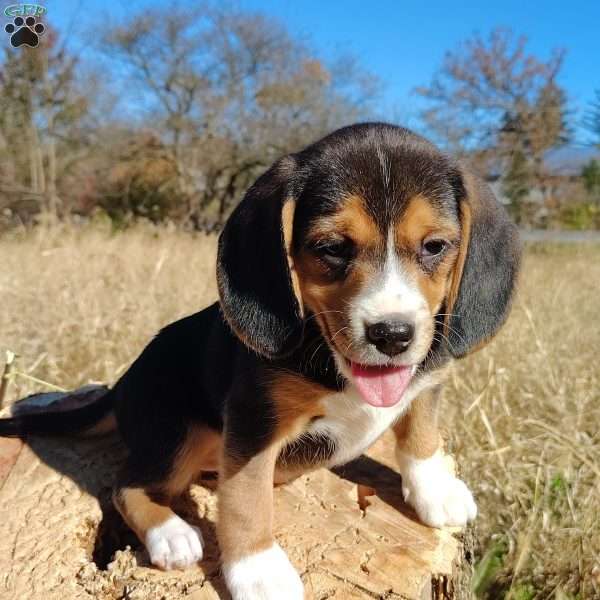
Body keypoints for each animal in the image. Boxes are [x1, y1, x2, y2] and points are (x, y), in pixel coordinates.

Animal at [0, 123, 516, 600]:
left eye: (435, 246)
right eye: (332, 247)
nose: (392, 335)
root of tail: (122, 384)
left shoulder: (426, 382)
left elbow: (420, 436)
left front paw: (436, 490)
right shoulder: (253, 423)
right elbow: (247, 500)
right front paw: (258, 571)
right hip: (177, 430)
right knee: (125, 485)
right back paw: (172, 534)